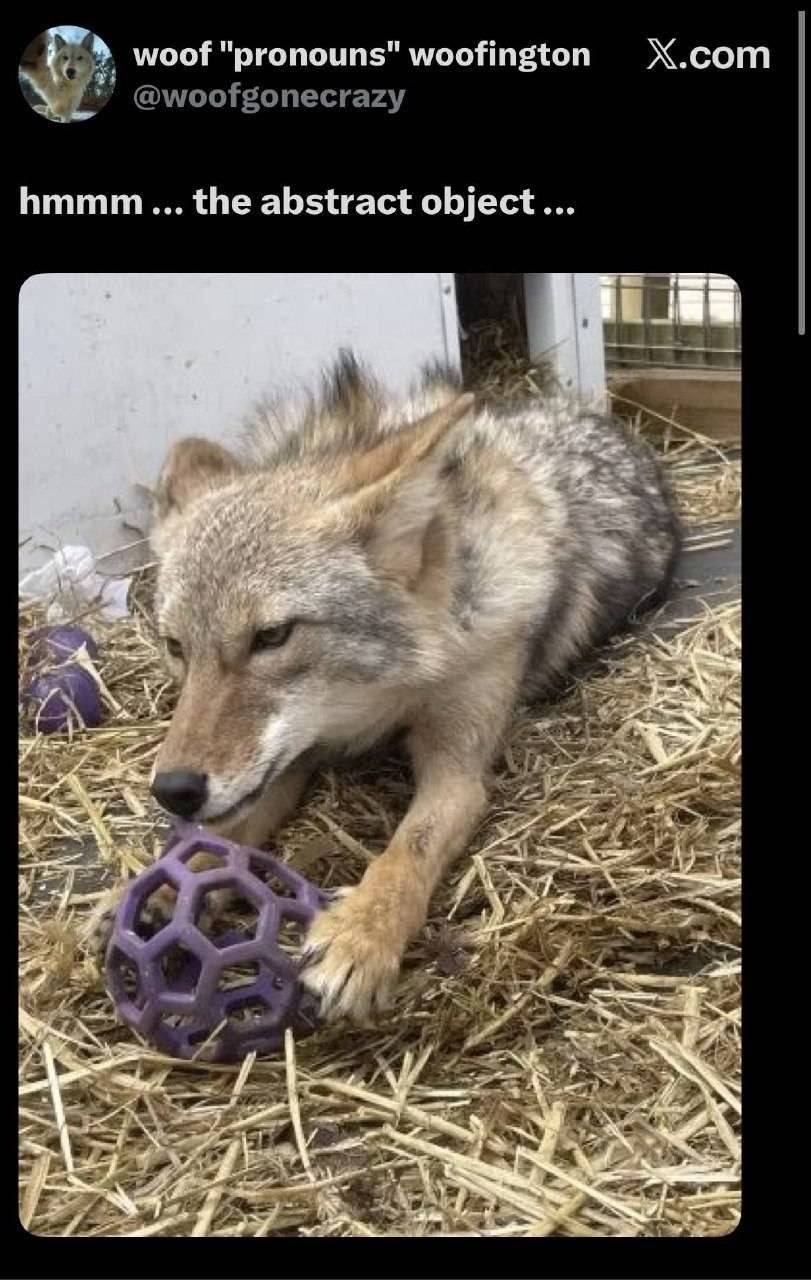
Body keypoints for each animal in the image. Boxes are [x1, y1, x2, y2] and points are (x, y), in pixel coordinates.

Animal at [86, 352, 681, 1023]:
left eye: (272, 636)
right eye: (176, 647)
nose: (175, 790)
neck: (387, 692)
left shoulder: (458, 769)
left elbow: (407, 850)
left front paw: (361, 935)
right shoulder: (292, 757)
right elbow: (224, 835)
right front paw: (156, 892)